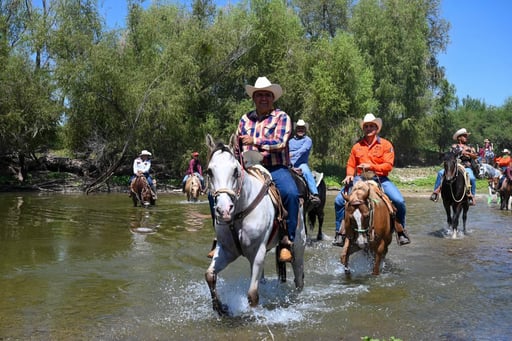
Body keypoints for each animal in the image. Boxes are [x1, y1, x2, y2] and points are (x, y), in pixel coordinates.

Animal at [204, 134, 304, 314]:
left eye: (235, 171)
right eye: (209, 171)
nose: (224, 210)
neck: (238, 214)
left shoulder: (257, 252)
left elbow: (252, 295)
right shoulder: (226, 250)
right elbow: (209, 275)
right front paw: (220, 307)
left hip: (299, 245)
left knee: (299, 279)